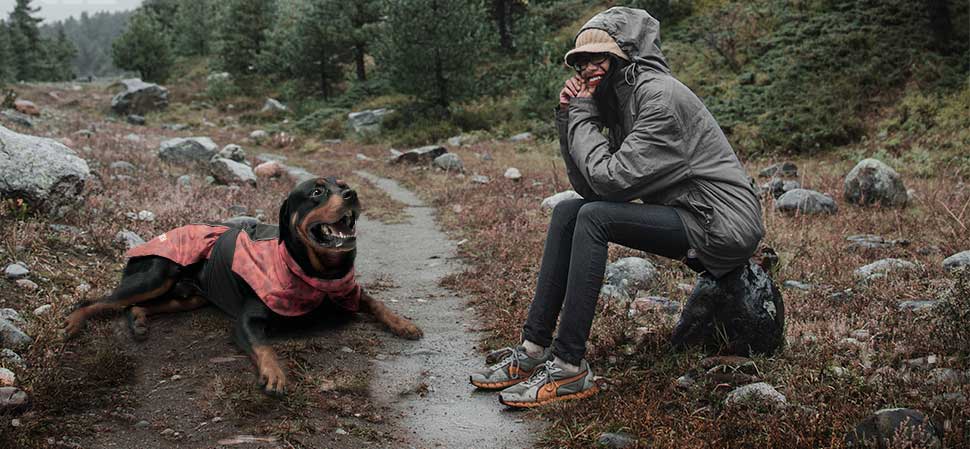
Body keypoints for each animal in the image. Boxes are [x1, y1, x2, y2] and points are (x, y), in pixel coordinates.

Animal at [63, 175, 420, 392]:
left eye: (343, 185)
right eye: (317, 192)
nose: (351, 193)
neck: (319, 274)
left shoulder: (349, 292)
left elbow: (376, 302)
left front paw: (403, 323)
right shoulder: (247, 320)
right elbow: (263, 345)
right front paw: (274, 373)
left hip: (190, 296)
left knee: (142, 305)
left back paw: (137, 320)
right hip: (156, 275)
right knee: (98, 301)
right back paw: (73, 323)